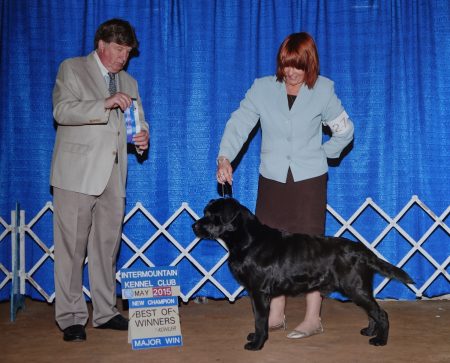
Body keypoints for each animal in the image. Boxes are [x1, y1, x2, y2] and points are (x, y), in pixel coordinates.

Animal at [192, 198, 414, 352]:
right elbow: (259, 319)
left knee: (381, 313)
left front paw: (257, 344)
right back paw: (369, 332)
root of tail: (363, 250)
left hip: (355, 287)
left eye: (212, 215)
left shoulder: (259, 291)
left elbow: (260, 320)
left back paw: (380, 340)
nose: (194, 226)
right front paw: (255, 337)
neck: (248, 241)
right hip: (359, 289)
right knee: (371, 312)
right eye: (205, 212)